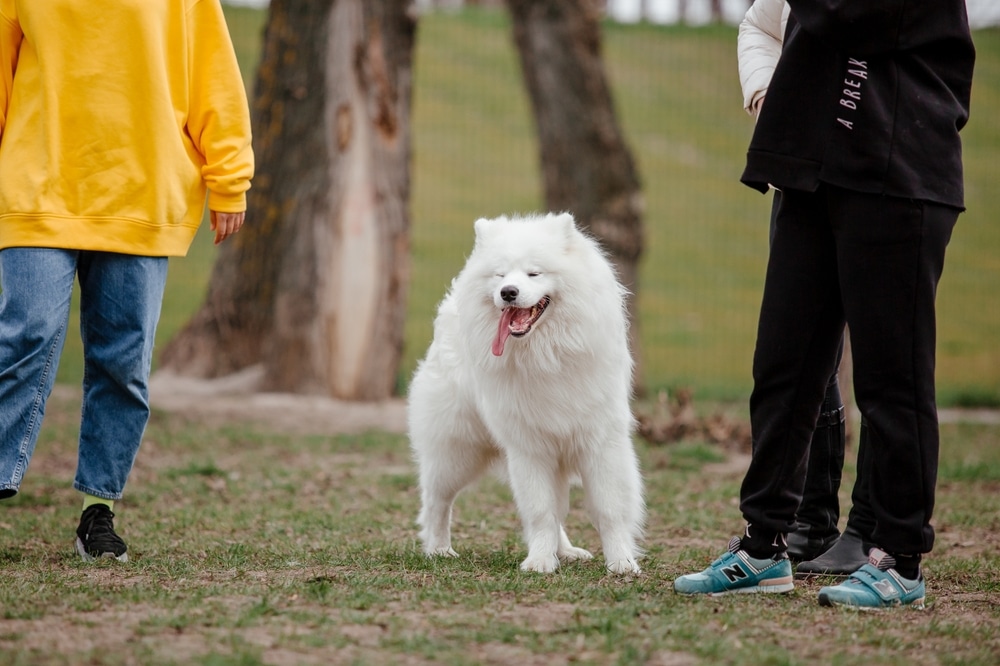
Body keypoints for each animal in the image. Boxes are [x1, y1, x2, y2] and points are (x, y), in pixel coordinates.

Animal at [410, 211, 644, 572]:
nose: (508, 292)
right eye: (500, 275)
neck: (545, 356)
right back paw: (439, 549)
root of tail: (450, 305)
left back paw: (567, 551)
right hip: (456, 451)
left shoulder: (601, 442)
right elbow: (540, 512)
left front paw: (621, 561)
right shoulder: (529, 448)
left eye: (535, 272)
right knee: (436, 501)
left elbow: (609, 509)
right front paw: (540, 561)